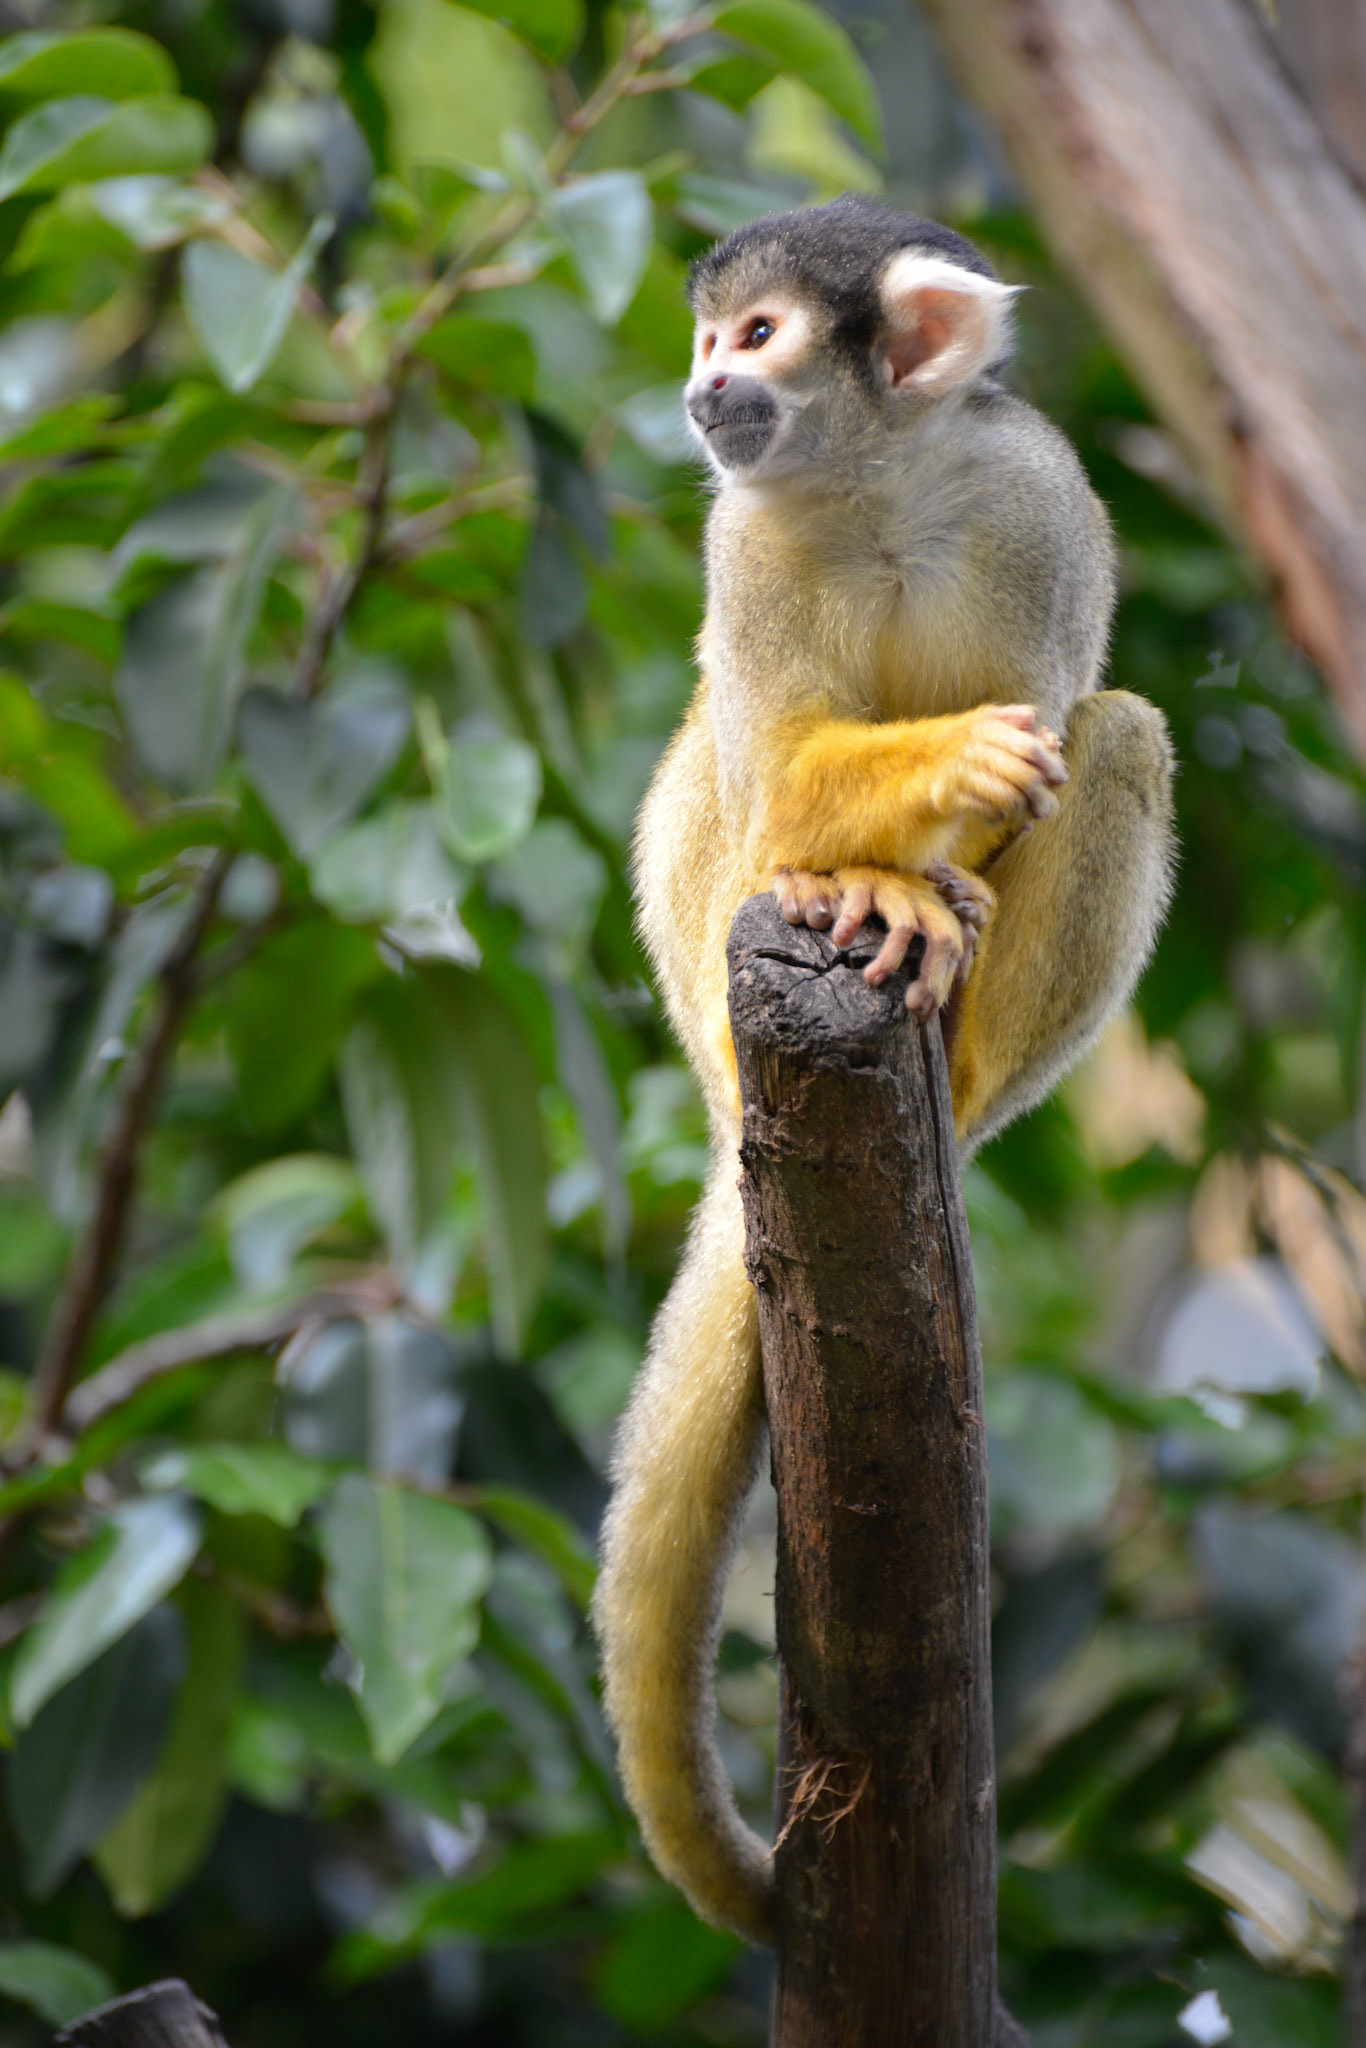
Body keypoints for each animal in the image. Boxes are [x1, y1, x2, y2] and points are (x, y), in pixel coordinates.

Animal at [592, 197, 1174, 1945]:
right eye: (707, 340)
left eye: (754, 337)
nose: (699, 387)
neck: (878, 482)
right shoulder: (742, 540)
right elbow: (785, 774)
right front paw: (886, 865)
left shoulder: (1037, 502)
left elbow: (1051, 733)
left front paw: (945, 876)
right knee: (723, 766)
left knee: (1122, 737)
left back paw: (963, 1067)